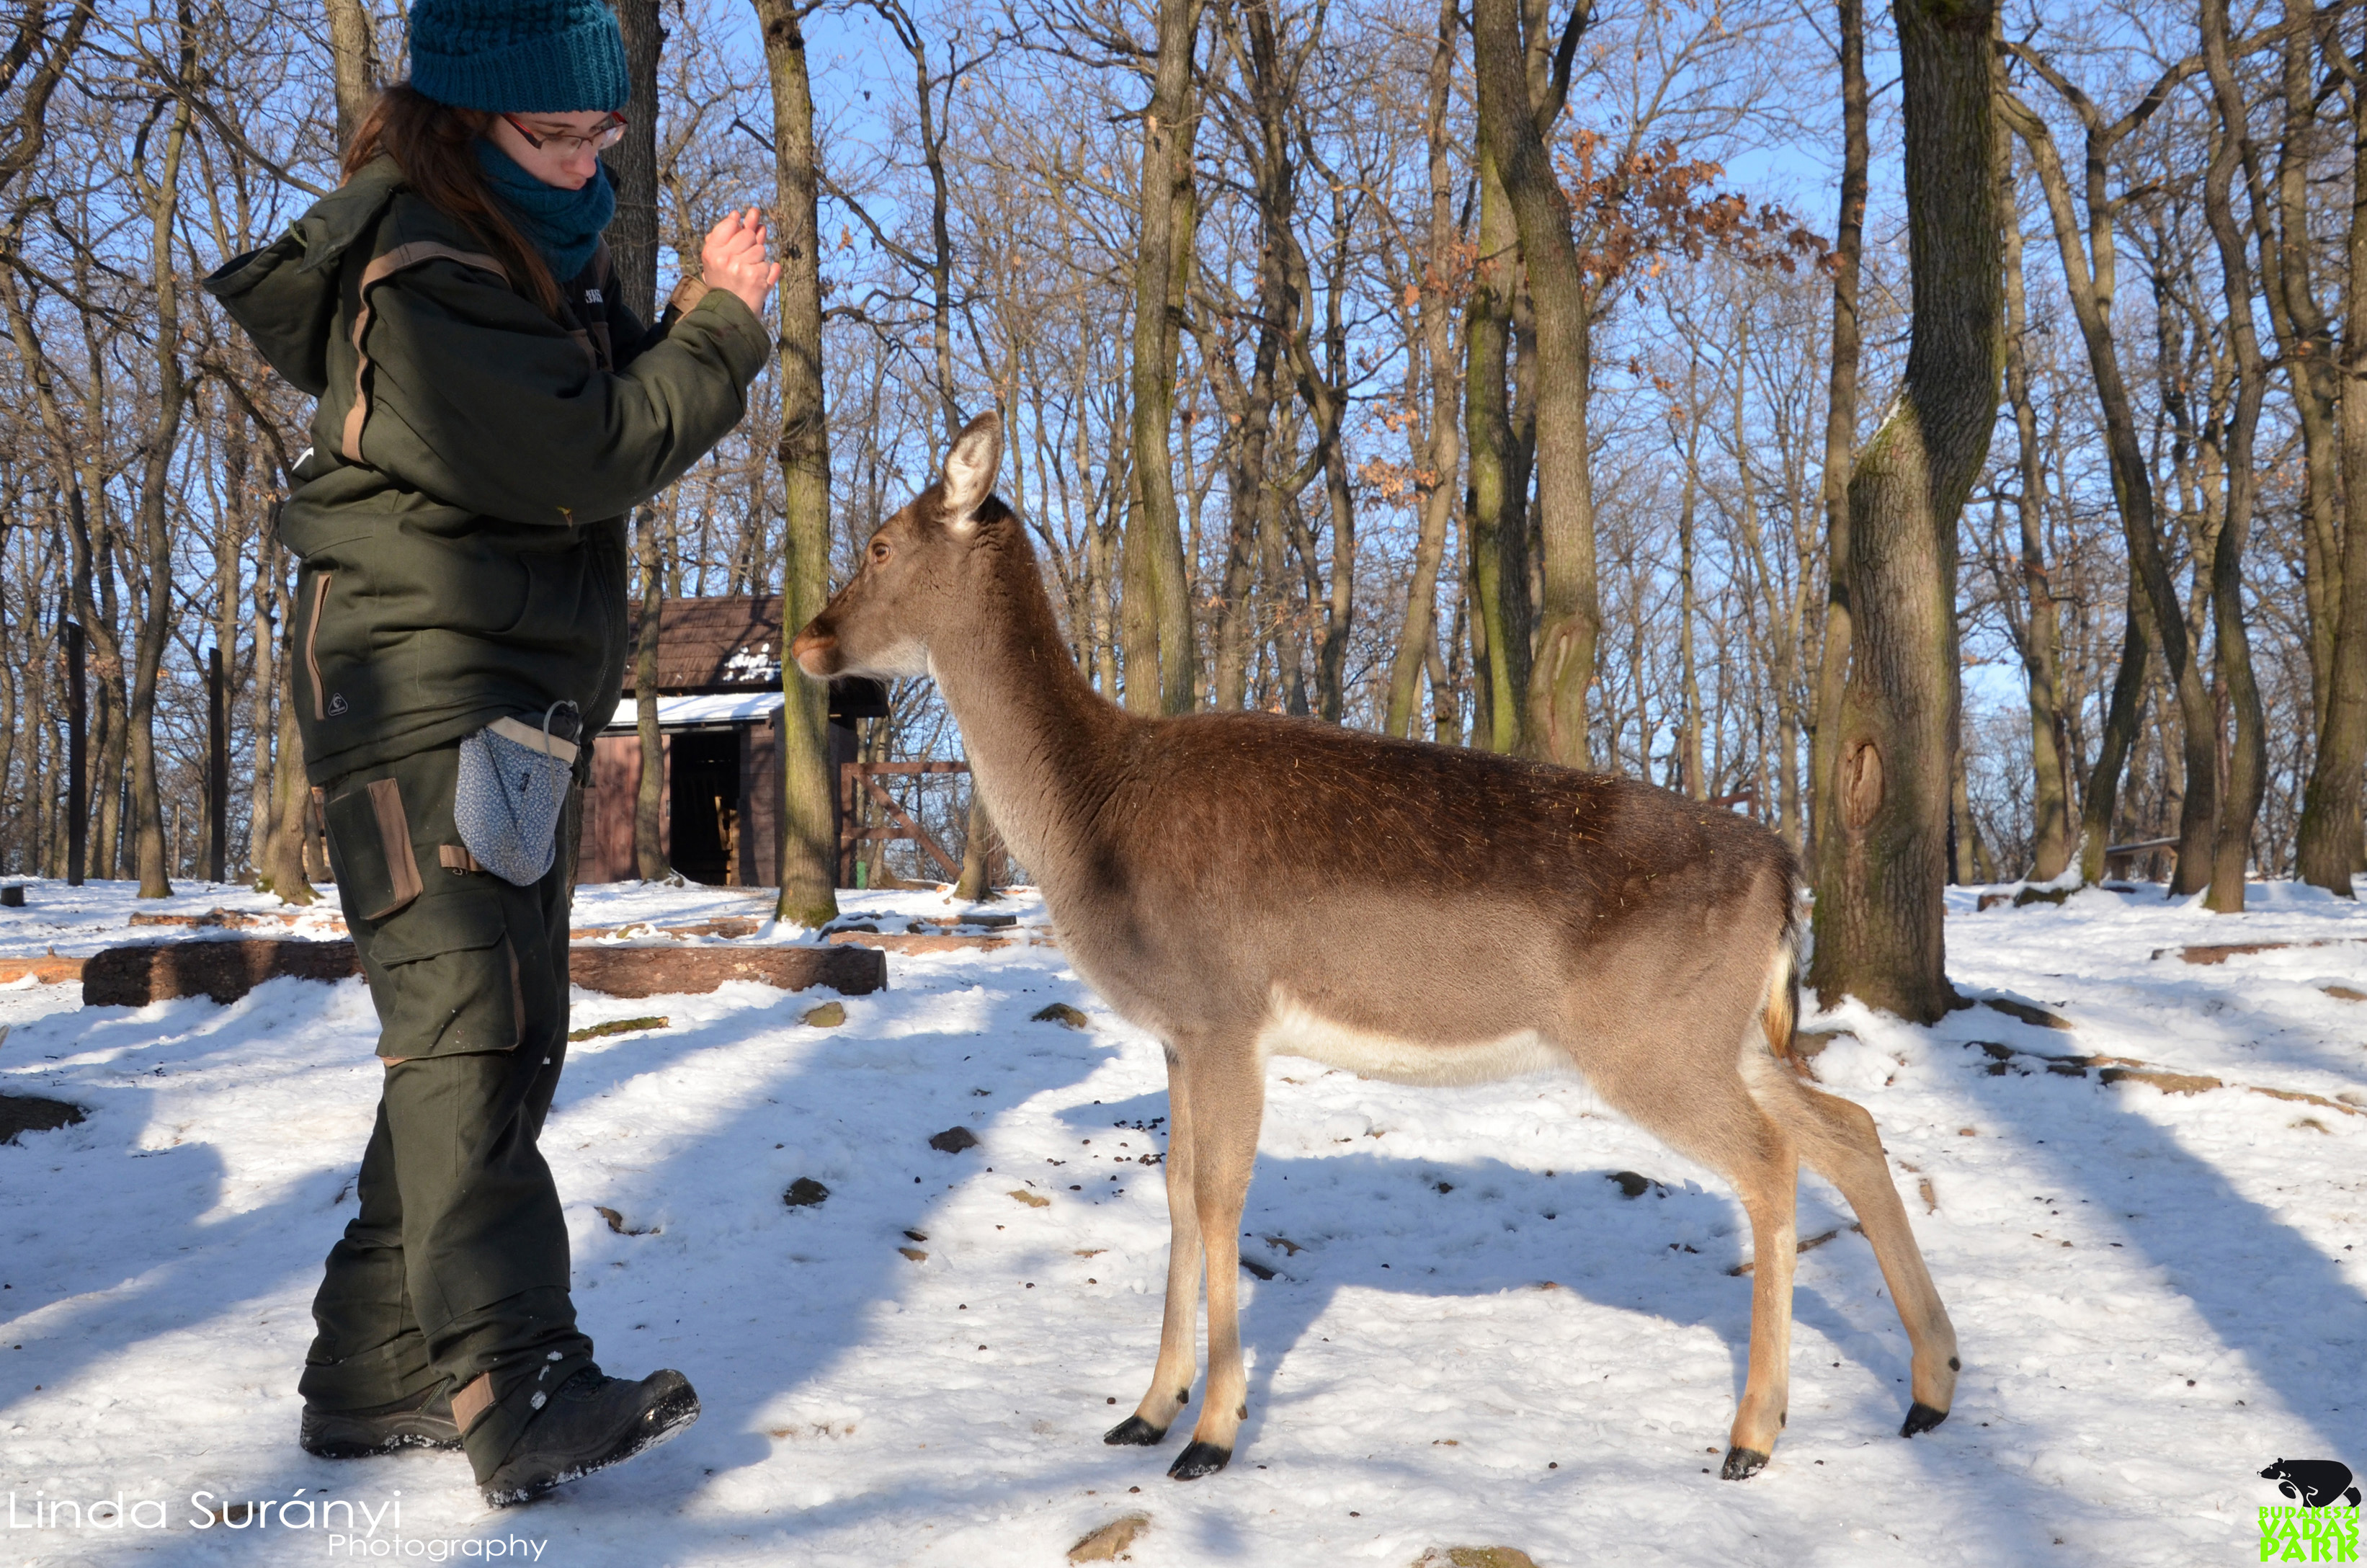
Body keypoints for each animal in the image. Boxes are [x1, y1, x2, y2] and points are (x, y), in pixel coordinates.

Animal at [795, 414, 1959, 1487]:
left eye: (881, 545)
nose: (808, 641)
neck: (1098, 818)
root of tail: (1784, 871)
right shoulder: (1176, 1032)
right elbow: (1178, 1196)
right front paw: (1143, 1412)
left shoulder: (1225, 1012)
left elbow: (1220, 1199)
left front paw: (1211, 1437)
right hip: (1724, 1032)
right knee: (1848, 1127)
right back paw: (1932, 1387)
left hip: (1651, 1038)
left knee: (1771, 1164)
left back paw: (1753, 1435)